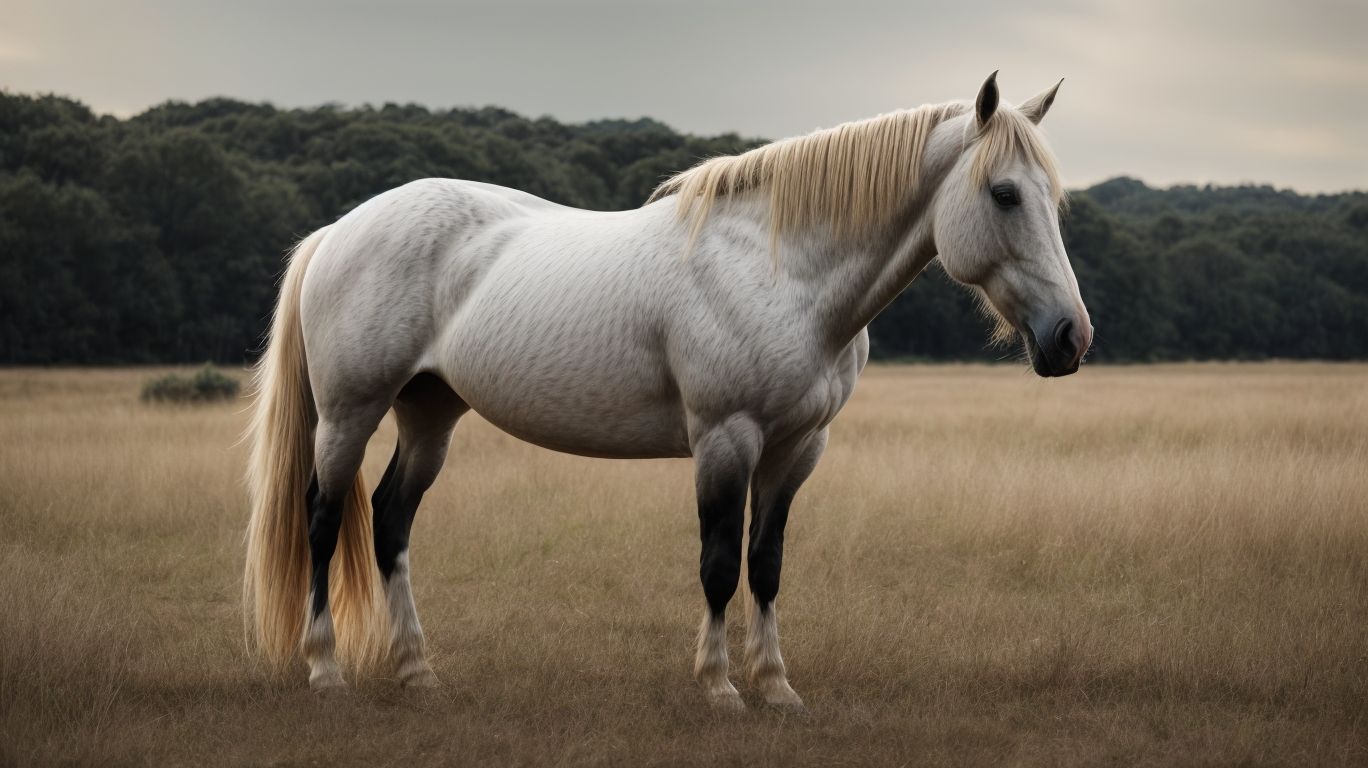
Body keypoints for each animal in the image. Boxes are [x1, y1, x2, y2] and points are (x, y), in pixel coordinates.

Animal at [243, 72, 1093, 710]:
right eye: (1005, 194)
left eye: (1053, 199)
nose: (1071, 338)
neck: (781, 270)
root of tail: (341, 229)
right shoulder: (726, 437)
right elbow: (718, 563)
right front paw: (720, 688)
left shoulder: (797, 449)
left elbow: (766, 564)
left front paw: (777, 687)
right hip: (349, 415)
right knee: (324, 521)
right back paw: (326, 670)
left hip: (430, 416)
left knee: (390, 521)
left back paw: (418, 672)